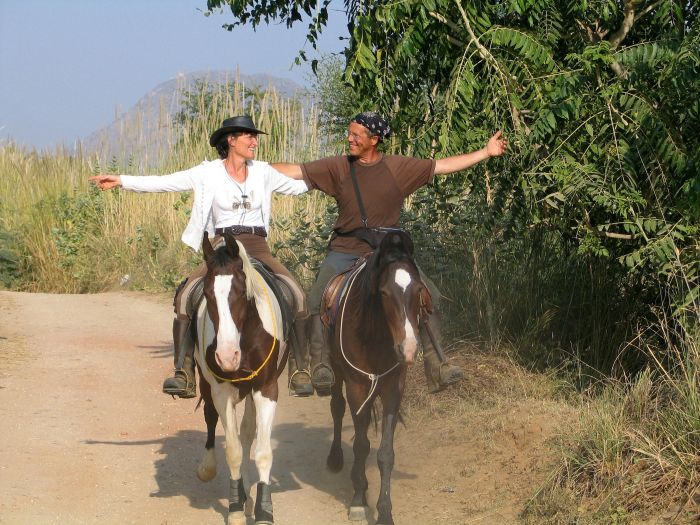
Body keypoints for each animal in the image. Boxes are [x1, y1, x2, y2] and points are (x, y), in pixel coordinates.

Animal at [193, 231, 286, 524]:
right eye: (207, 294)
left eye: (240, 291)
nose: (227, 357)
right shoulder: (222, 390)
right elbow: (233, 450)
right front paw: (234, 507)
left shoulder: (266, 388)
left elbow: (263, 452)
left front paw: (263, 510)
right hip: (208, 383)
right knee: (211, 417)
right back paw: (209, 469)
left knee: (247, 432)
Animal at [324, 229, 432, 524]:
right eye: (384, 293)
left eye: (419, 290)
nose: (409, 349)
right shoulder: (357, 386)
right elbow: (361, 445)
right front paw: (359, 501)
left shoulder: (393, 387)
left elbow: (385, 453)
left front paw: (384, 511)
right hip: (337, 371)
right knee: (336, 408)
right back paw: (335, 458)